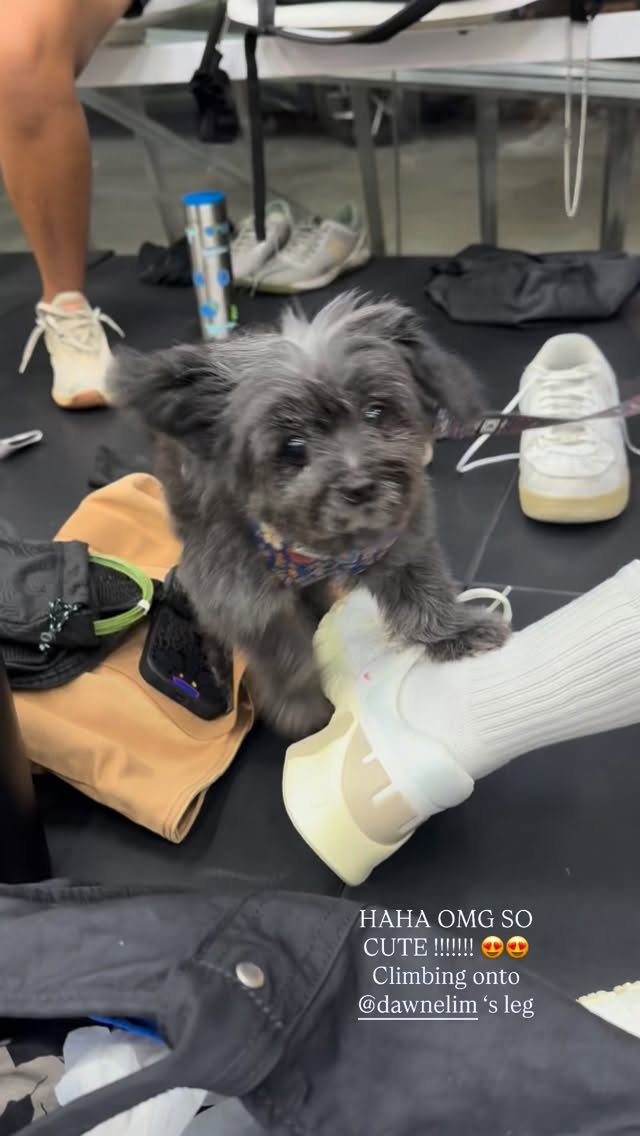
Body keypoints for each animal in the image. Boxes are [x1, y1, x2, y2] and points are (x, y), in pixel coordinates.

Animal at [109, 292, 509, 738]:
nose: (360, 487)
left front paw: (455, 633)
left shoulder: (401, 542)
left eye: (376, 411)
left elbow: (426, 594)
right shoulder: (244, 598)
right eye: (293, 446)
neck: (319, 541)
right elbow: (286, 656)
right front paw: (303, 710)